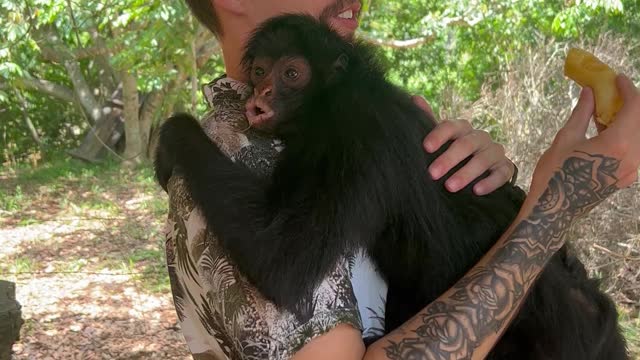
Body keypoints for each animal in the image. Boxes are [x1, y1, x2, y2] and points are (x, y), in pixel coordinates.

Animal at [156, 14, 632, 360]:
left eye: (291, 72)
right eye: (259, 70)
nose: (263, 91)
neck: (331, 100)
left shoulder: (360, 131)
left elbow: (286, 264)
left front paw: (175, 133)